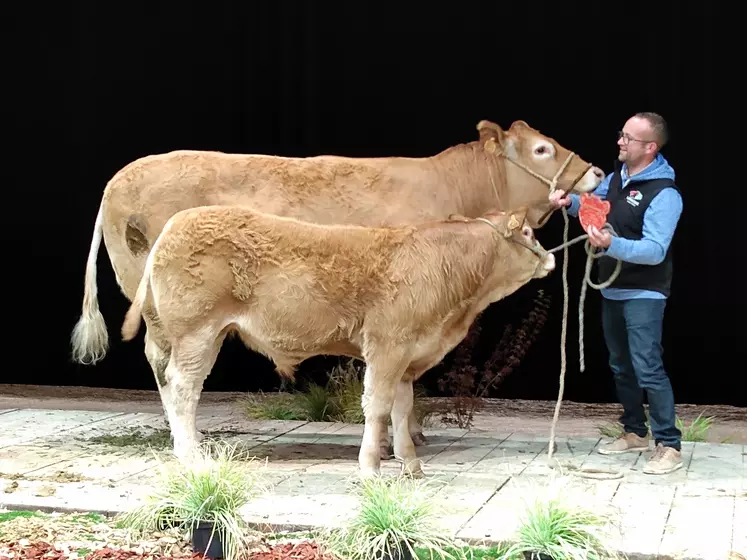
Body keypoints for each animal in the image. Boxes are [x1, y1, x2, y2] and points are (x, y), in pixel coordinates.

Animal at [121, 203, 556, 474]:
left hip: (192, 335)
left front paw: (410, 464)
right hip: (197, 332)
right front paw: (371, 467)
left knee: (167, 382)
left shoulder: (406, 354)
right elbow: (378, 407)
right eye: (529, 232)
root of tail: (174, 225)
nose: (552, 257)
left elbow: (402, 408)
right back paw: (192, 456)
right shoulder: (388, 345)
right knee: (183, 388)